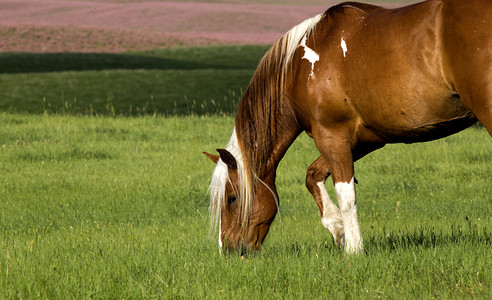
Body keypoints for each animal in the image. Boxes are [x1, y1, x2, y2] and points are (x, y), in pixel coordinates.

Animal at [202, 0, 490, 254]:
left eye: (231, 198)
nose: (228, 250)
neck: (297, 69)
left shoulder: (331, 135)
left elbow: (345, 193)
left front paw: (353, 248)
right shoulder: (363, 140)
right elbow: (313, 175)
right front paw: (338, 229)